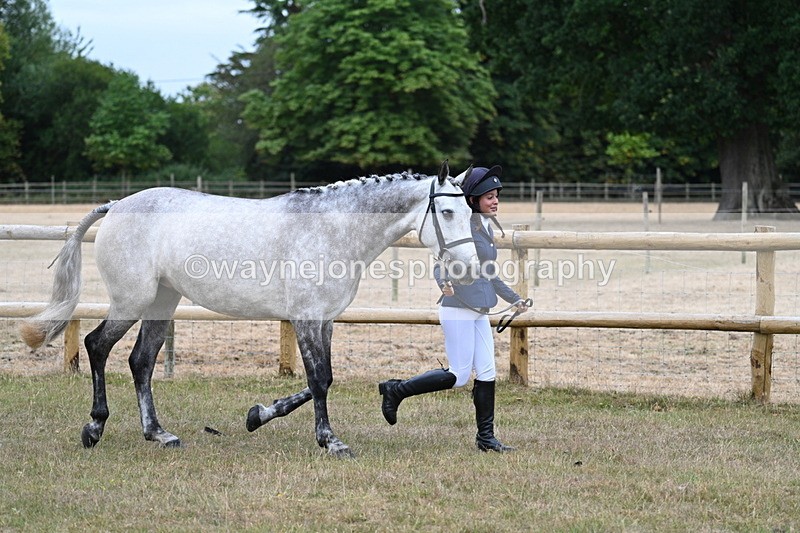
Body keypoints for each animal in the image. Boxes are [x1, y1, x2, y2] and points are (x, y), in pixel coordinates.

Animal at [20, 161, 479, 457]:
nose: (470, 267)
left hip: (162, 302)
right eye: (447, 211)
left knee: (141, 361)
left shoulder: (325, 320)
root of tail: (116, 205)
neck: (332, 228)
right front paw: (330, 441)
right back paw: (94, 428)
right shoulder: (306, 318)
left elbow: (318, 380)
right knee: (97, 345)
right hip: (131, 300)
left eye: (470, 209)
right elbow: (321, 379)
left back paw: (159, 434)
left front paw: (258, 415)